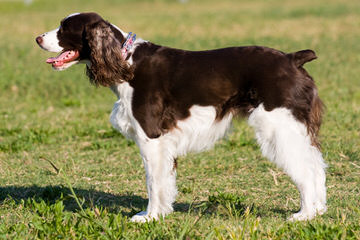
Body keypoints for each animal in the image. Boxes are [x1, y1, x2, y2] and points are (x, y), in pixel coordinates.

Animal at [35, 12, 326, 222]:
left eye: (64, 28)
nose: (37, 38)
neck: (126, 63)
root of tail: (292, 59)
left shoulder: (151, 138)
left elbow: (153, 182)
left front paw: (150, 217)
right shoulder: (164, 144)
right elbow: (165, 181)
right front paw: (159, 213)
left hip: (278, 127)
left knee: (305, 170)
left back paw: (304, 215)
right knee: (316, 166)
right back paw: (319, 210)